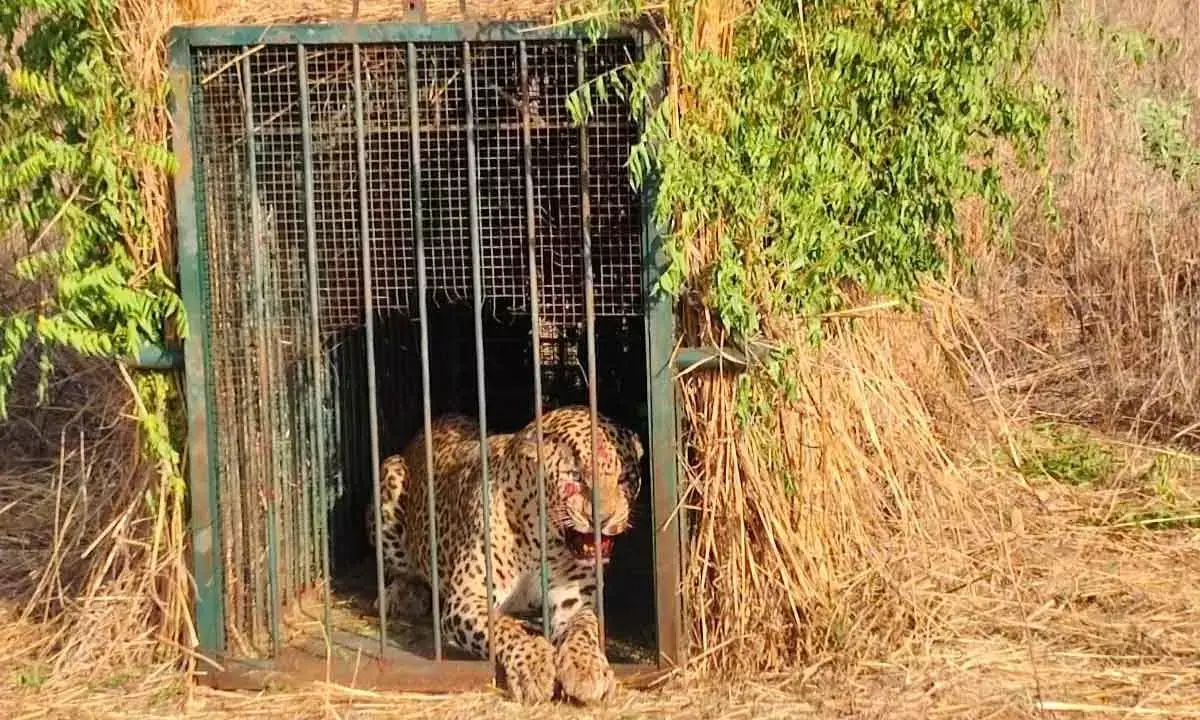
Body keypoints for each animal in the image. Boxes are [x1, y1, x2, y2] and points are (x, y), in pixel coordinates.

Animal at [364, 405, 644, 705]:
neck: (543, 542)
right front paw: (534, 666)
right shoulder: (468, 598)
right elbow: (503, 629)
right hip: (390, 474)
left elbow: (585, 629)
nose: (603, 518)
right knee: (403, 571)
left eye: (624, 478)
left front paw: (587, 668)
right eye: (575, 476)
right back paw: (402, 596)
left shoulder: (575, 603)